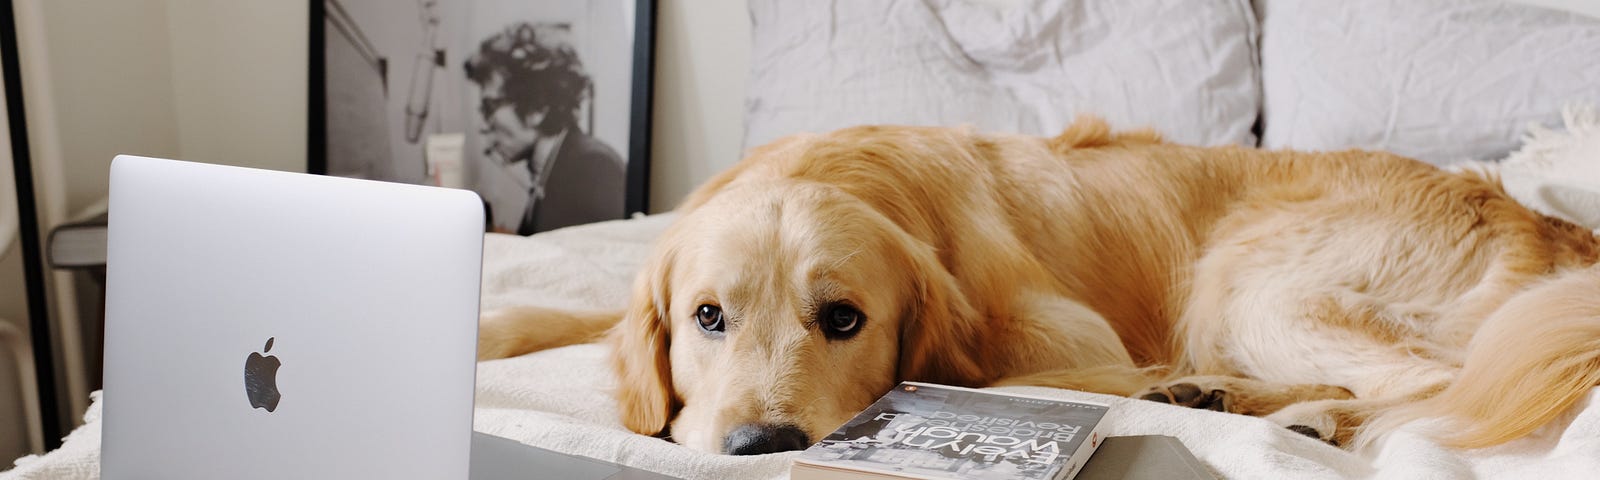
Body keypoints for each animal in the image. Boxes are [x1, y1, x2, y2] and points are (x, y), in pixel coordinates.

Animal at [473, 115, 1600, 454]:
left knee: (1429, 390)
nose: (760, 446)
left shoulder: (1073, 341)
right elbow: (563, 309)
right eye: (706, 317)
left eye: (843, 319)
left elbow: (1008, 378)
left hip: (1247, 281)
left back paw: (1281, 410)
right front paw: (485, 324)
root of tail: (1546, 219)